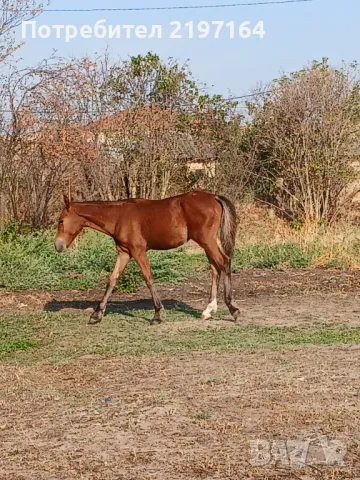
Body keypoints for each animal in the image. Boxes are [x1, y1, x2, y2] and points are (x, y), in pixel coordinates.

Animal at [54, 189, 239, 324]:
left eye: (61, 220)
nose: (58, 245)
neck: (119, 216)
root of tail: (214, 197)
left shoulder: (138, 251)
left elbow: (148, 277)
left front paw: (158, 314)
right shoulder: (124, 252)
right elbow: (112, 279)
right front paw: (97, 315)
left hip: (206, 240)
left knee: (224, 262)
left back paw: (232, 308)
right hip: (206, 242)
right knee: (215, 268)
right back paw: (208, 311)